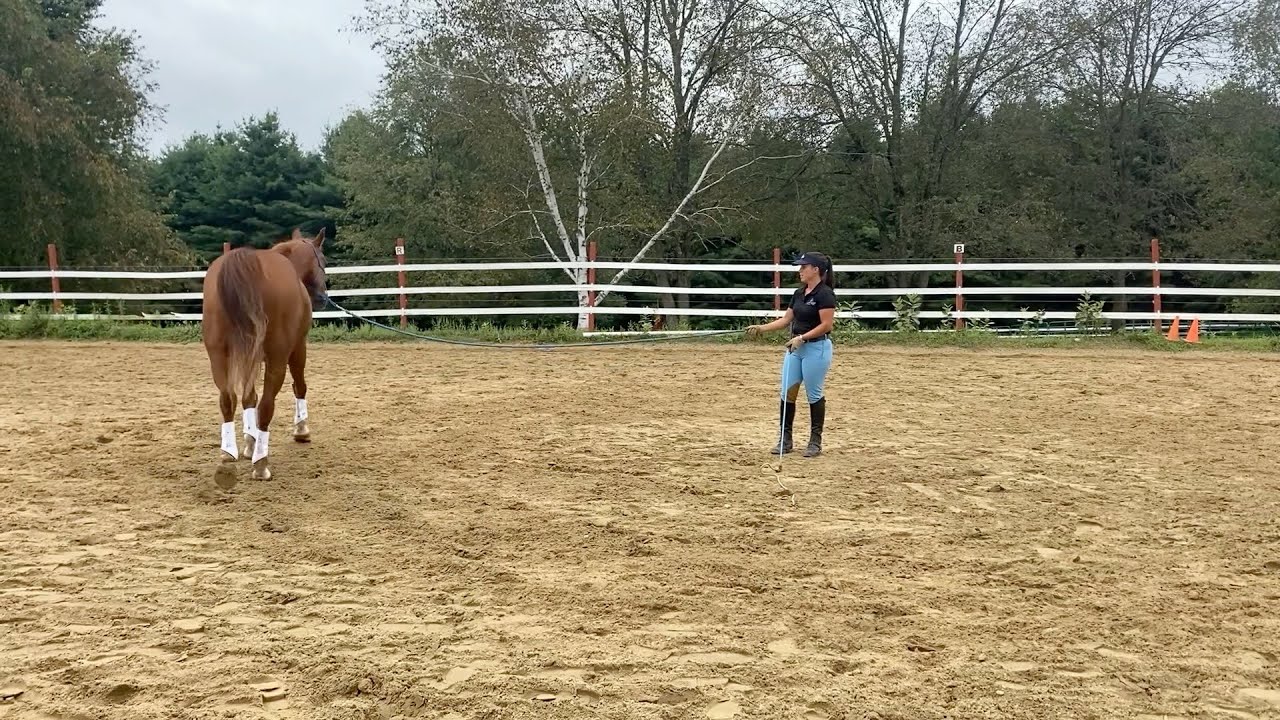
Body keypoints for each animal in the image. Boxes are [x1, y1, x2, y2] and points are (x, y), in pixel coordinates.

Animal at [201, 227, 328, 489]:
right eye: (324, 261)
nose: (323, 296)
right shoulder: (297, 348)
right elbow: (299, 386)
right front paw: (301, 430)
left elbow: (248, 397)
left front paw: (249, 442)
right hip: (278, 357)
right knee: (267, 406)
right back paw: (261, 464)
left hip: (218, 354)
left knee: (227, 398)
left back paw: (228, 453)